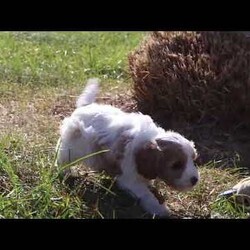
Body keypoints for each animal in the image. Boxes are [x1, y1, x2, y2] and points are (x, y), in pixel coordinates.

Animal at [57, 78, 199, 217]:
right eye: (176, 165)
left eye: (193, 160)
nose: (195, 180)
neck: (147, 141)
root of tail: (84, 107)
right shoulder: (130, 179)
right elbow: (146, 194)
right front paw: (159, 209)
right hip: (72, 147)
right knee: (63, 158)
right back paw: (65, 172)